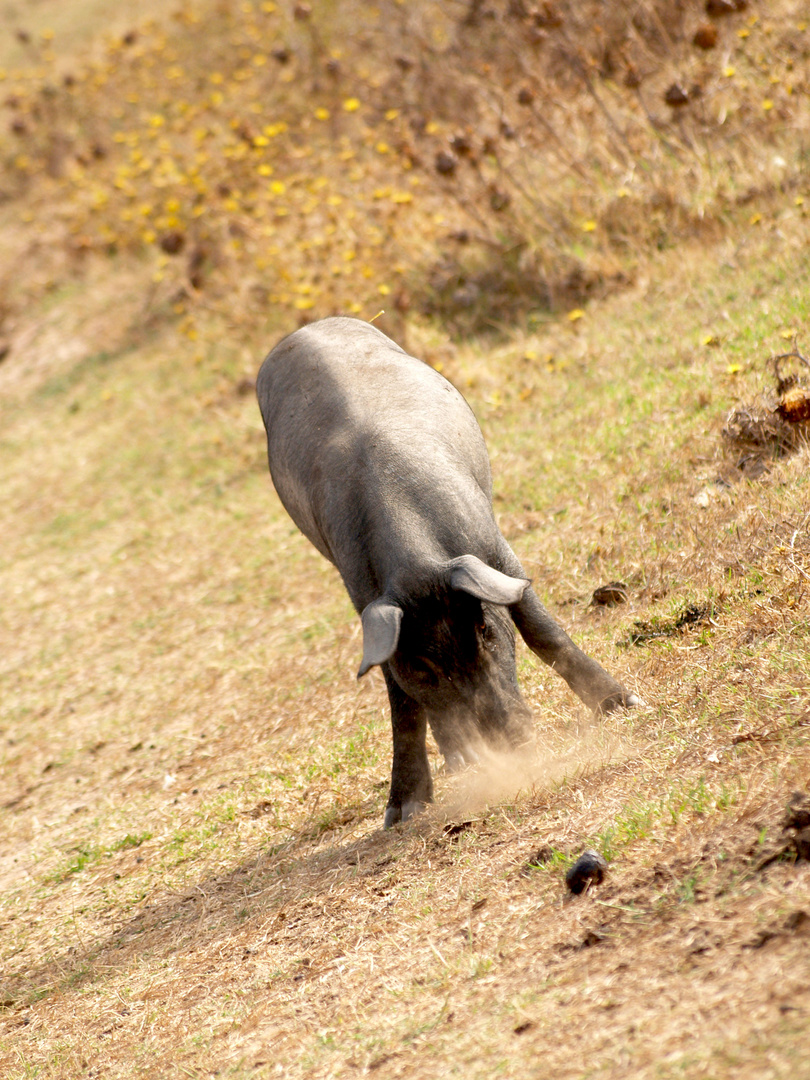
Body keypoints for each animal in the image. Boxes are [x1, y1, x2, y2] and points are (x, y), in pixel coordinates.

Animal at [257, 315, 639, 829]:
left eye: (484, 630)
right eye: (422, 666)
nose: (507, 743)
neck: (415, 565)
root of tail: (304, 329)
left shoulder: (494, 552)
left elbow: (543, 630)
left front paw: (623, 706)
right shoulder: (365, 601)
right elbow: (400, 702)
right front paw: (402, 812)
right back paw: (459, 763)